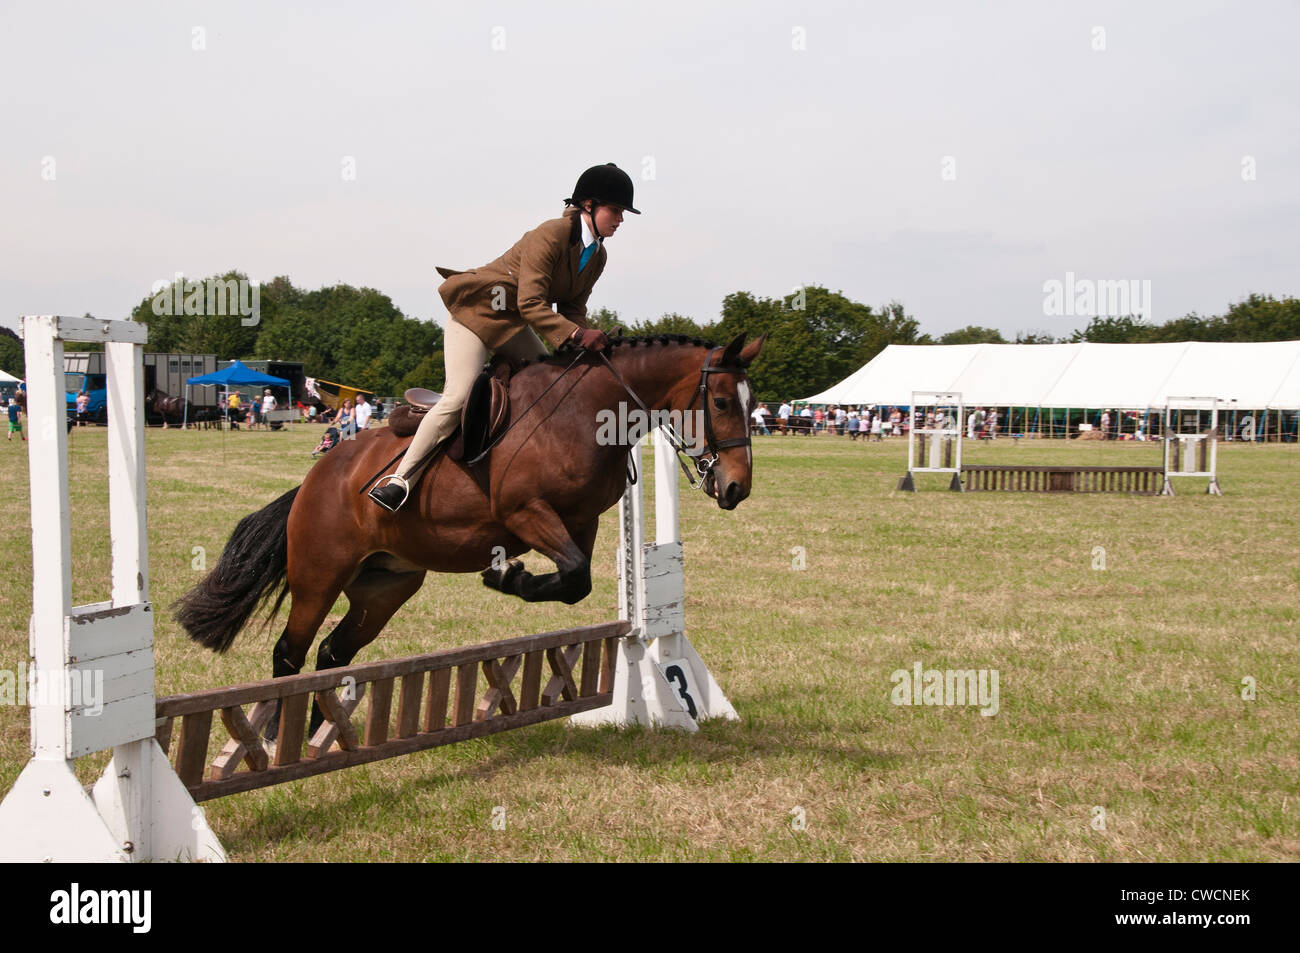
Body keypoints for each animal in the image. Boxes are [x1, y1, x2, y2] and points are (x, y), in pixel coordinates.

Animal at [172, 332, 759, 738]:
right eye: (722, 402)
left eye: (752, 405)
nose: (736, 487)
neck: (585, 413)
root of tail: (315, 479)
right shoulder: (525, 512)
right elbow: (572, 574)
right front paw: (507, 577)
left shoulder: (582, 521)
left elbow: (577, 581)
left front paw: (510, 577)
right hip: (319, 577)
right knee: (289, 654)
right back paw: (274, 735)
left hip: (384, 588)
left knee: (333, 654)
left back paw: (325, 733)